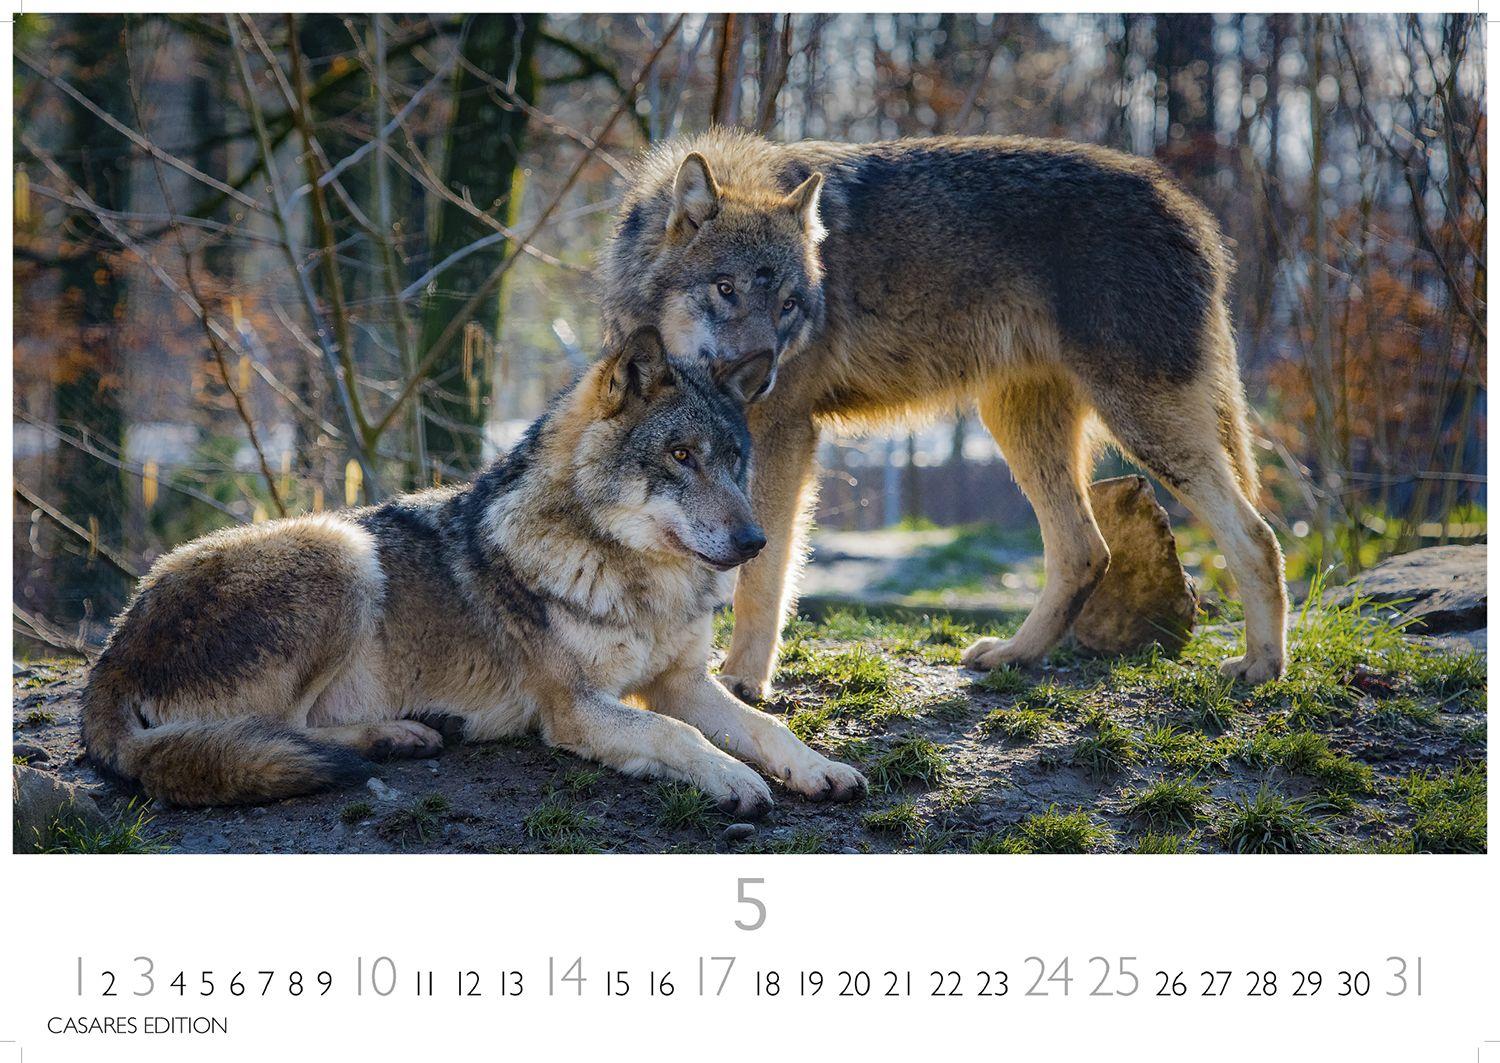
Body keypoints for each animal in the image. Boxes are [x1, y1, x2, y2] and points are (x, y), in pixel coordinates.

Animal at [81, 328, 866, 812]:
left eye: (734, 460)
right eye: (680, 456)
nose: (755, 540)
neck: (637, 580)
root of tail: (112, 651)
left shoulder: (682, 681)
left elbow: (765, 726)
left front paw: (817, 767)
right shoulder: (575, 708)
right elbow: (681, 737)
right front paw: (733, 778)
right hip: (342, 550)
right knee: (278, 732)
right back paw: (398, 735)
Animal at [600, 128, 1288, 702]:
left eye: (791, 305)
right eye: (727, 290)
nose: (761, 376)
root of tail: (1191, 210)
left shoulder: (783, 434)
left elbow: (762, 572)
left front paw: (743, 680)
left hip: (1143, 427)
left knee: (1256, 536)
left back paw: (1261, 666)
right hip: (1020, 426)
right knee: (1086, 551)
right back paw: (1014, 656)